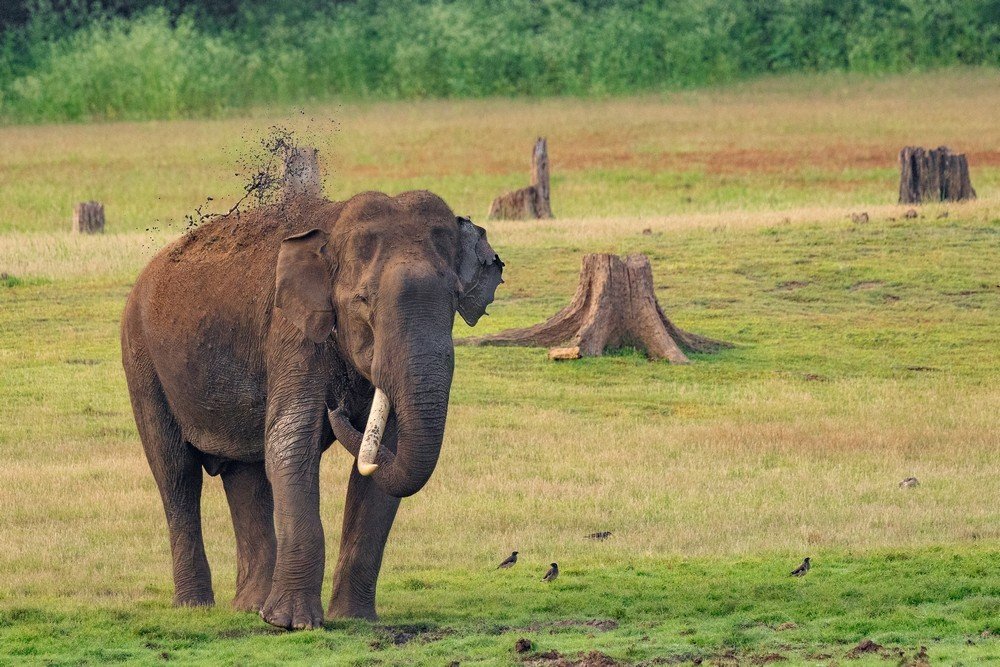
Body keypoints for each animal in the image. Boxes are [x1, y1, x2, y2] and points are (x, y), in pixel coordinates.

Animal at [120, 190, 504, 629]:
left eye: (455, 299)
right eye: (363, 302)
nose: (336, 409)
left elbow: (380, 464)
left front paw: (354, 619)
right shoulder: (291, 332)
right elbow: (291, 445)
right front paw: (292, 624)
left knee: (246, 475)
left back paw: (250, 607)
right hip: (142, 361)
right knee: (176, 475)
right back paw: (195, 607)